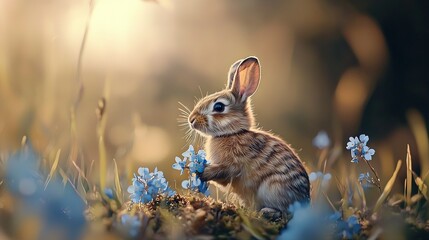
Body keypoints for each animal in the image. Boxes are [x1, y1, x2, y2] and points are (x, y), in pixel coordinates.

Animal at [186, 56, 310, 214]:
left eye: (219, 107)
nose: (191, 120)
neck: (232, 133)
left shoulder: (234, 164)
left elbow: (224, 171)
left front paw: (201, 172)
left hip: (273, 187)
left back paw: (268, 212)